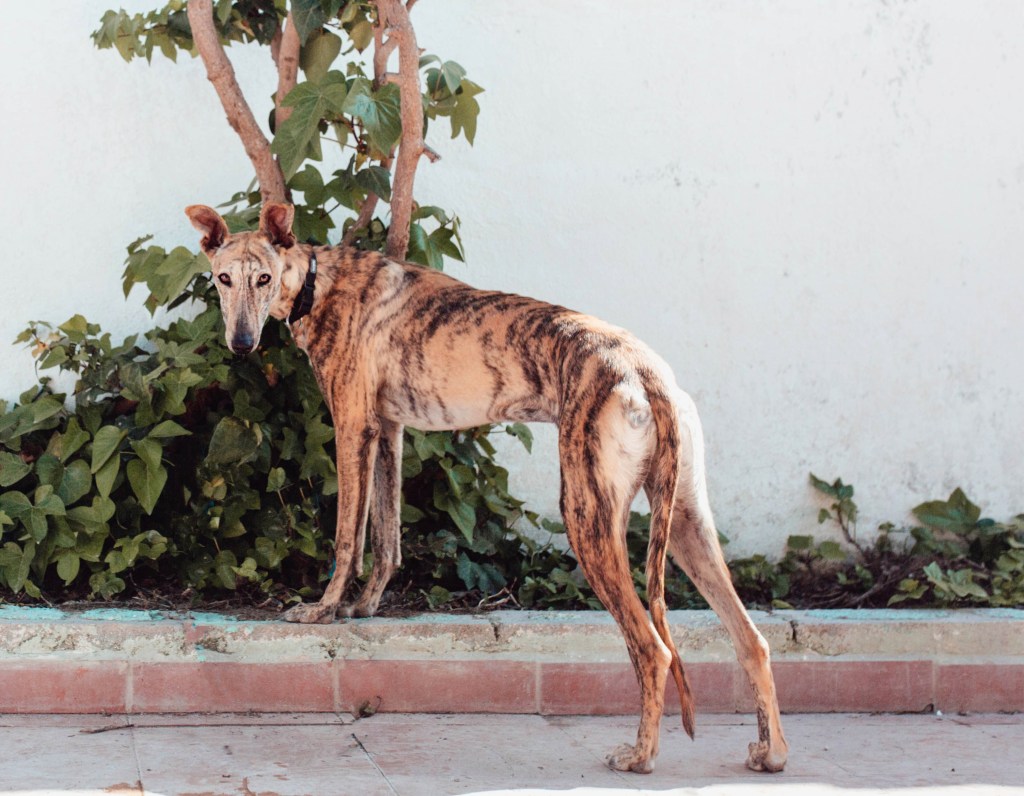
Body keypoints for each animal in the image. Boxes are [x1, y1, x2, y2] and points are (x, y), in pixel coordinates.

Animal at [186, 201, 788, 775]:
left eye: (262, 279)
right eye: (223, 278)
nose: (241, 344)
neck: (317, 278)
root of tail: (647, 373)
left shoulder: (353, 426)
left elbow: (347, 537)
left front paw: (324, 609)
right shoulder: (389, 430)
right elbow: (387, 536)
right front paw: (368, 604)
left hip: (588, 516)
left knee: (652, 649)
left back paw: (640, 756)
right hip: (687, 524)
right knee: (752, 640)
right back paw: (771, 753)